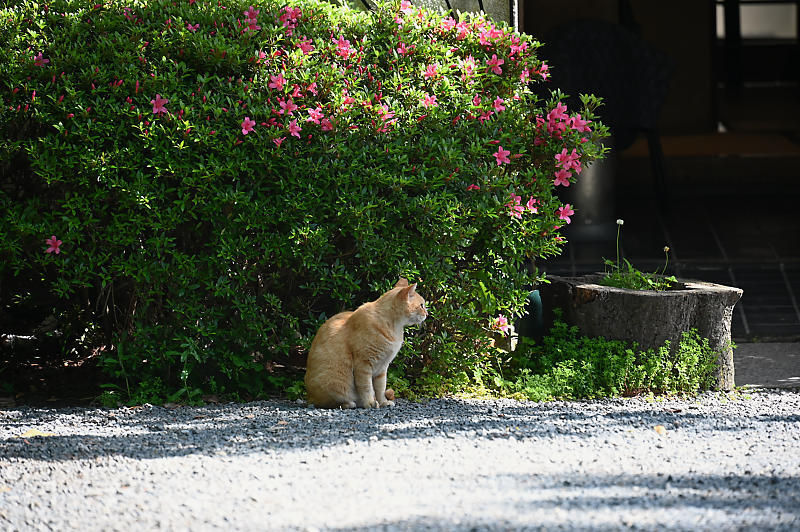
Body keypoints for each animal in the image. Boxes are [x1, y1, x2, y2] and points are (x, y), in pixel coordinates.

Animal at [304, 278, 424, 408]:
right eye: (422, 305)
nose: (427, 314)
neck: (394, 327)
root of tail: (309, 397)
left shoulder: (382, 368)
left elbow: (380, 388)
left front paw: (383, 402)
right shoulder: (363, 365)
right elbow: (367, 387)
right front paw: (370, 403)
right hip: (334, 384)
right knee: (331, 402)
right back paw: (349, 404)